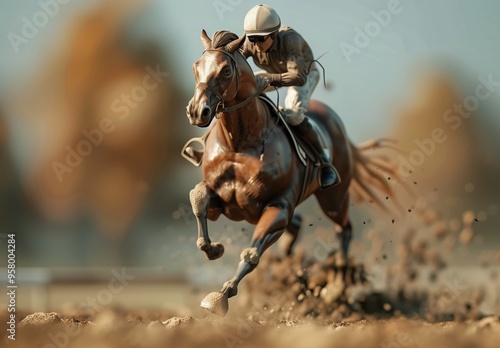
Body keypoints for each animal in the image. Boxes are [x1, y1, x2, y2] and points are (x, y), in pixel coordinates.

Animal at [186, 29, 400, 316]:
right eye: (196, 66)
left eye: (225, 71)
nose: (198, 111)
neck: (240, 144)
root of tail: (338, 124)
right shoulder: (223, 203)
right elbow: (198, 199)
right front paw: (214, 249)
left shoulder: (279, 207)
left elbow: (252, 253)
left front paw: (220, 296)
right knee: (299, 226)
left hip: (334, 198)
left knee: (344, 229)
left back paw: (336, 288)